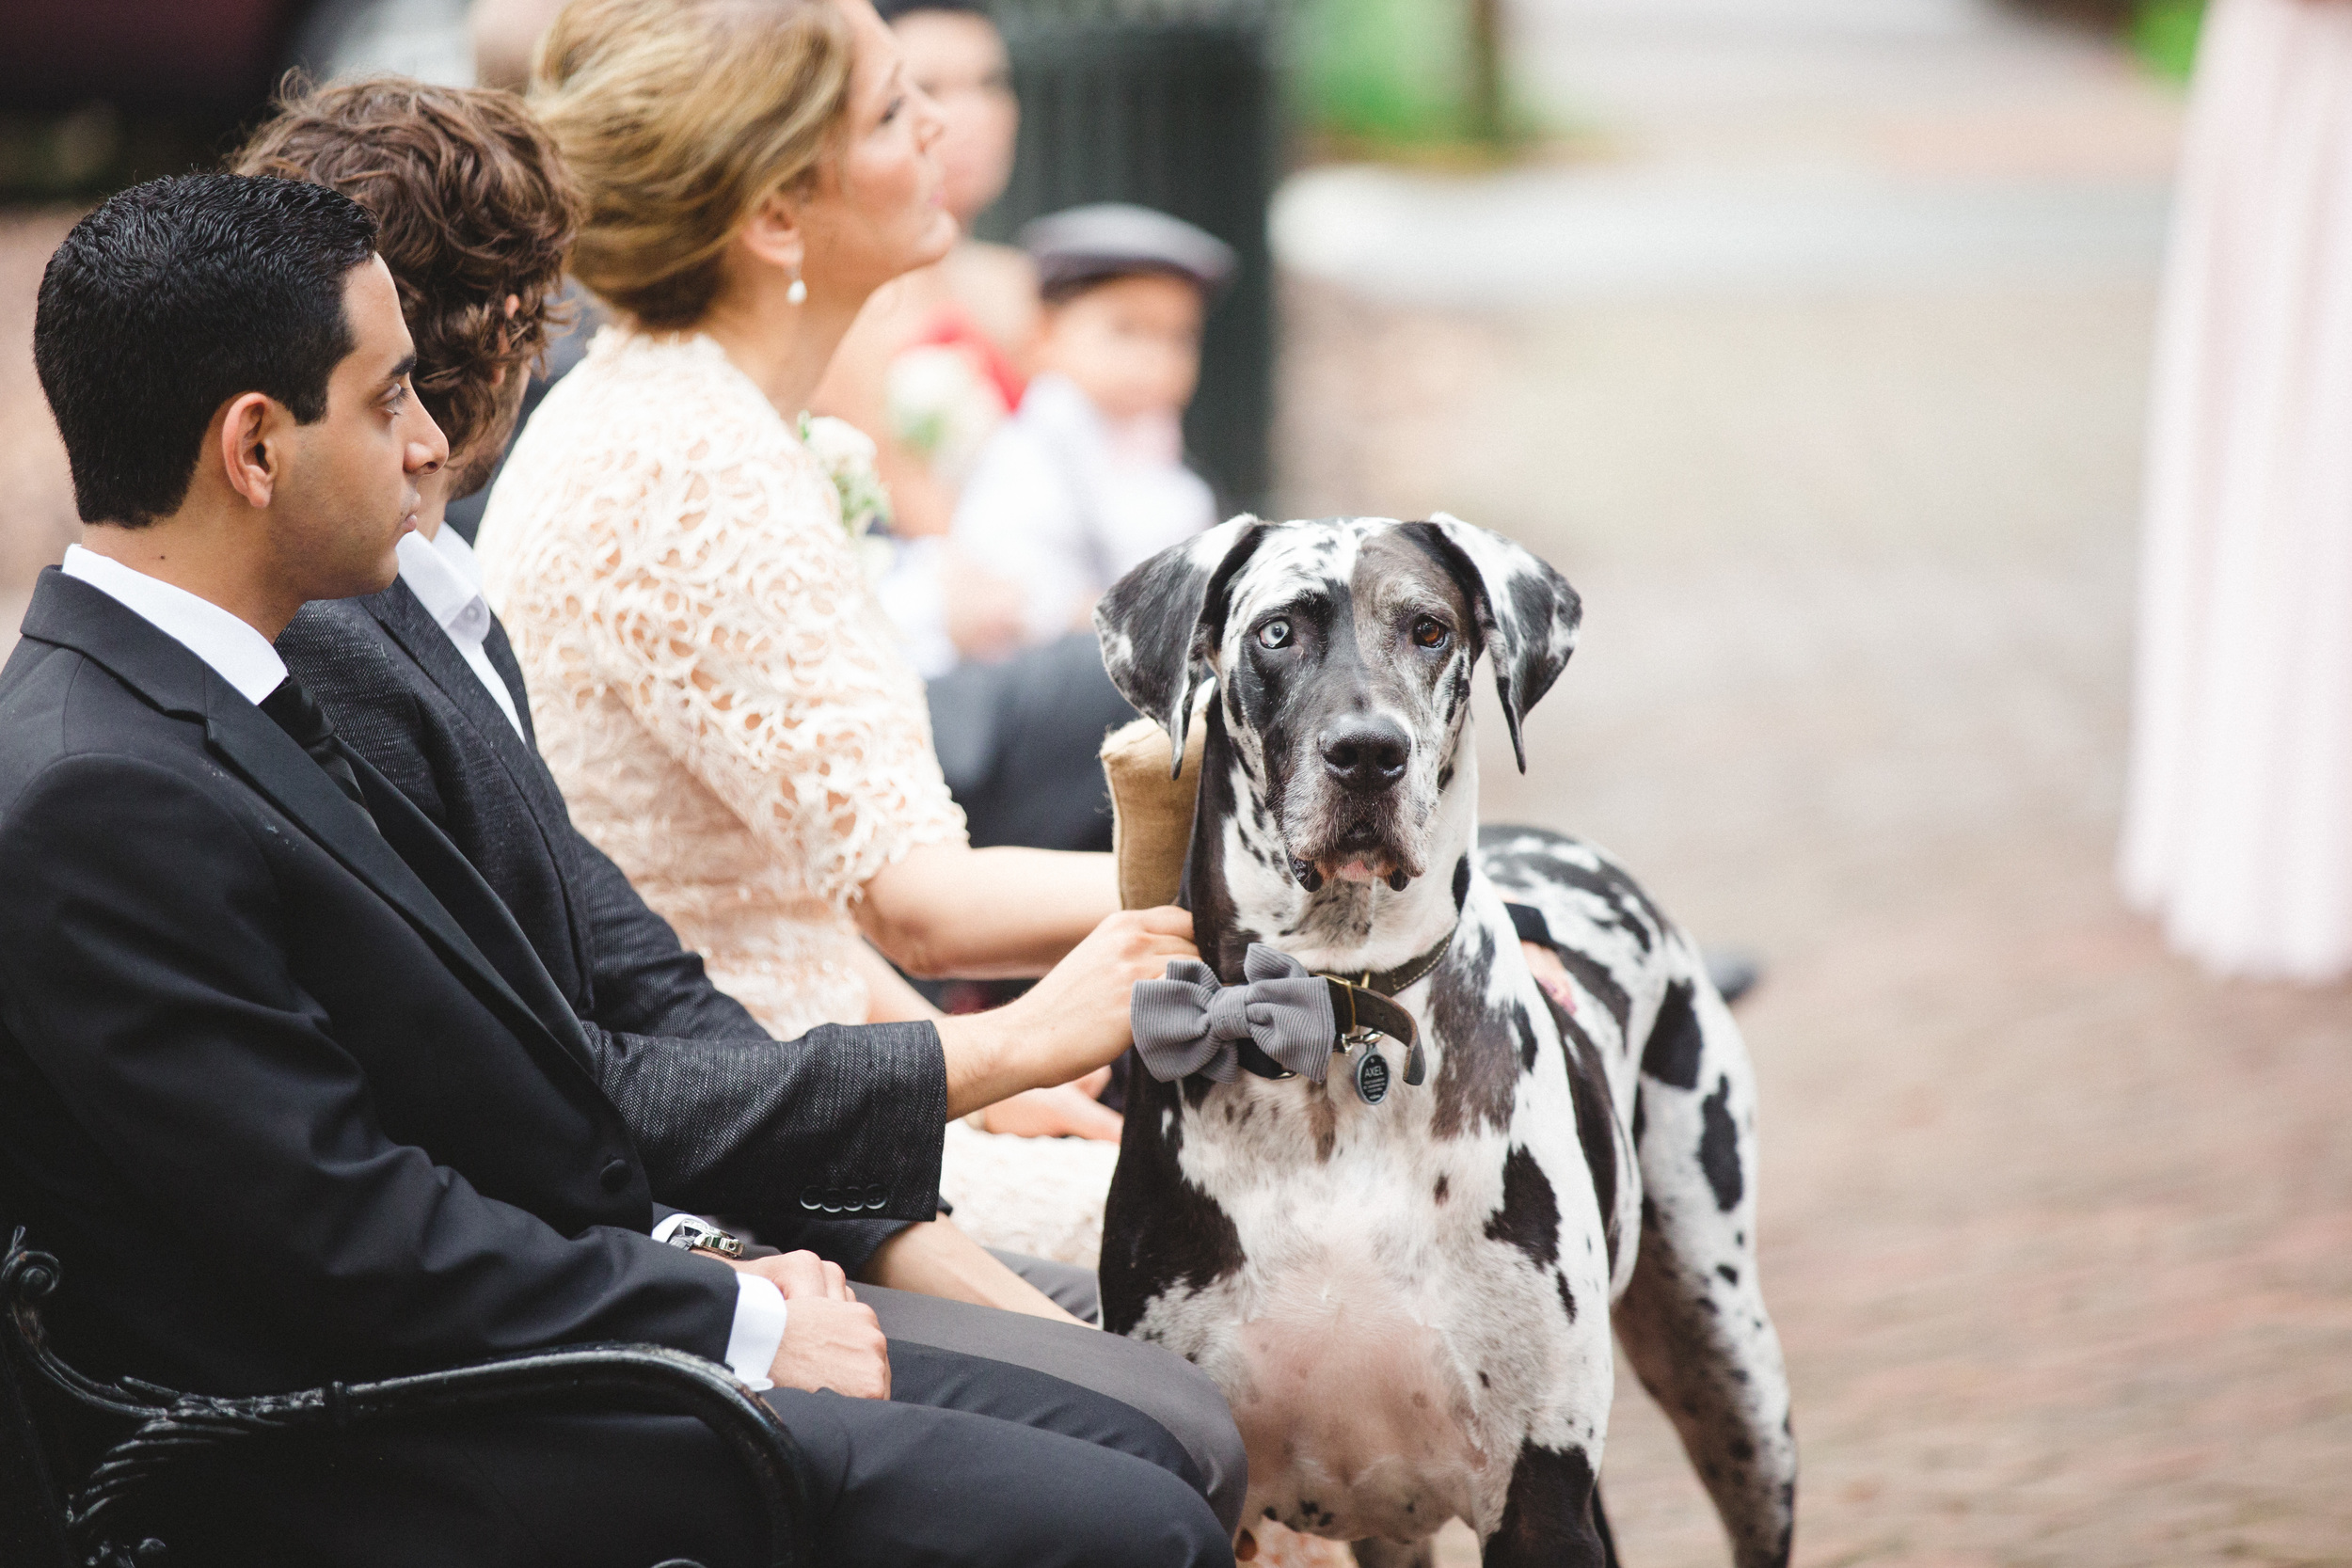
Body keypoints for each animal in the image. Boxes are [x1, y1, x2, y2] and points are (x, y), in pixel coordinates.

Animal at [1091, 516, 1788, 1568]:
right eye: (1276, 631)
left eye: (1429, 629)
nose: (1368, 752)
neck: (1333, 1014)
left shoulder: (1540, 1497)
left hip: (1730, 1366)